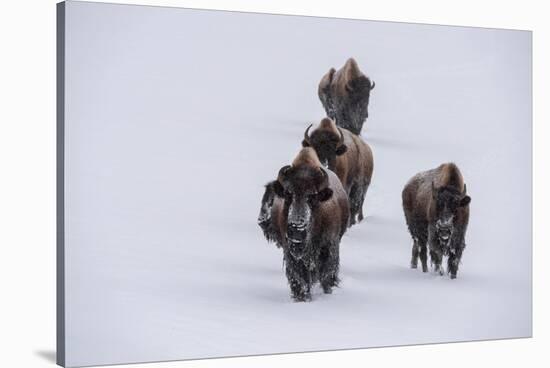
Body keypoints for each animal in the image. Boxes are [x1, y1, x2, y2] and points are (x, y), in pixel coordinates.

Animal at [270, 147, 352, 302]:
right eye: (288, 194)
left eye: (312, 196)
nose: (297, 230)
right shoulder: (290, 252)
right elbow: (299, 279)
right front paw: (302, 298)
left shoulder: (329, 247)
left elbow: (326, 275)